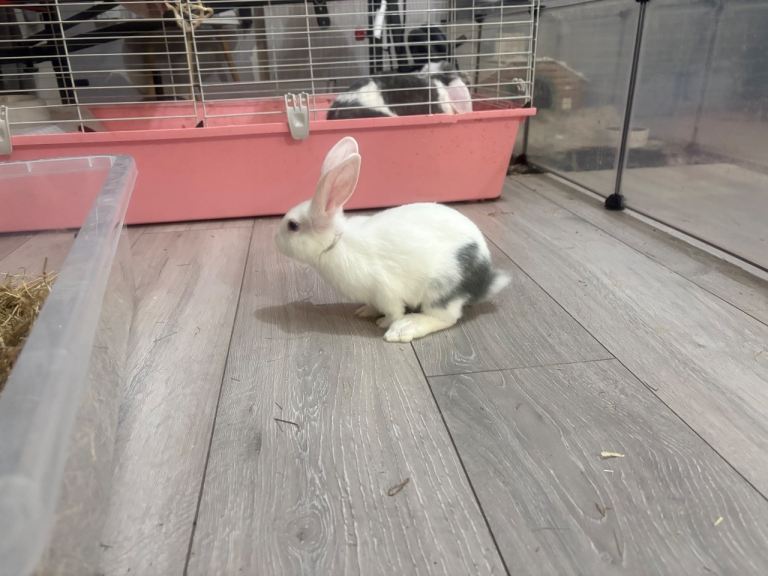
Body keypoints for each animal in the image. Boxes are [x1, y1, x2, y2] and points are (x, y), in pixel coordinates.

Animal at [274, 136, 510, 343]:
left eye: (293, 226)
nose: (275, 239)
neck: (337, 243)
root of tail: (485, 279)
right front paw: (365, 311)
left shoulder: (385, 290)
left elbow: (393, 311)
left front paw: (384, 322)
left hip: (439, 290)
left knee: (445, 318)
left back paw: (406, 328)